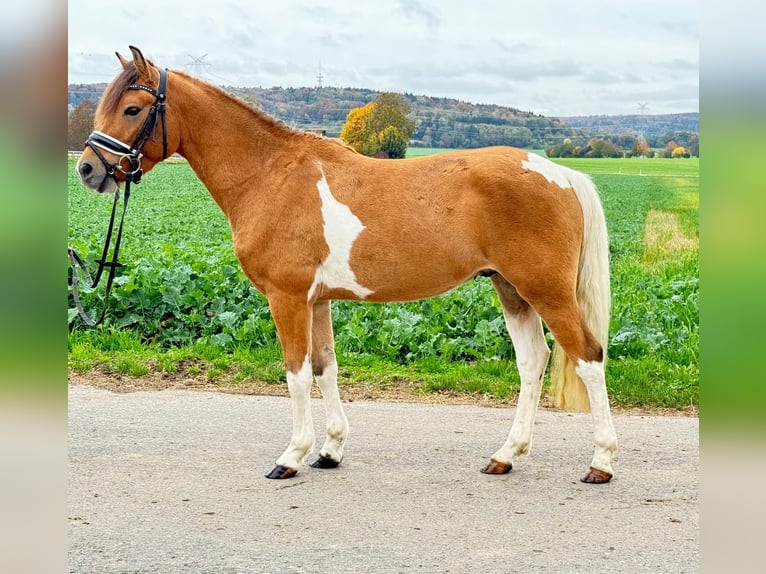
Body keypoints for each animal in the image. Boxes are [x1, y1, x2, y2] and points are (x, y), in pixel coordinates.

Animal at [76, 46, 616, 486]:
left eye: (132, 108)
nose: (88, 169)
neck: (270, 175)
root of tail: (559, 172)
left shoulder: (288, 298)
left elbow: (295, 374)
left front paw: (291, 456)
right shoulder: (317, 302)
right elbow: (324, 368)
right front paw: (330, 451)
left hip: (546, 292)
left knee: (588, 357)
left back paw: (601, 462)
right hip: (511, 289)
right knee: (532, 362)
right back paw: (505, 455)